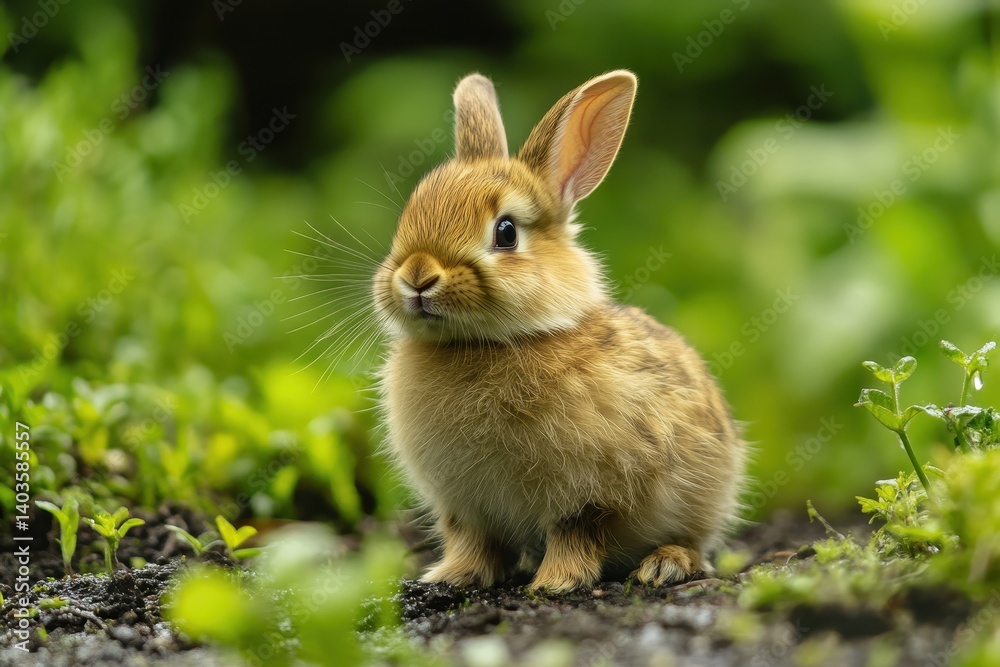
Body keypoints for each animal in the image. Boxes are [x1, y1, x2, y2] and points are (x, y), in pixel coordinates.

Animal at [372, 70, 745, 592]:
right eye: (409, 214)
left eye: (506, 232)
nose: (418, 276)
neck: (485, 343)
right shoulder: (463, 505)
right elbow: (470, 540)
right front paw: (451, 577)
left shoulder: (589, 494)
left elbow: (575, 533)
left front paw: (555, 584)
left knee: (694, 540)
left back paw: (664, 564)